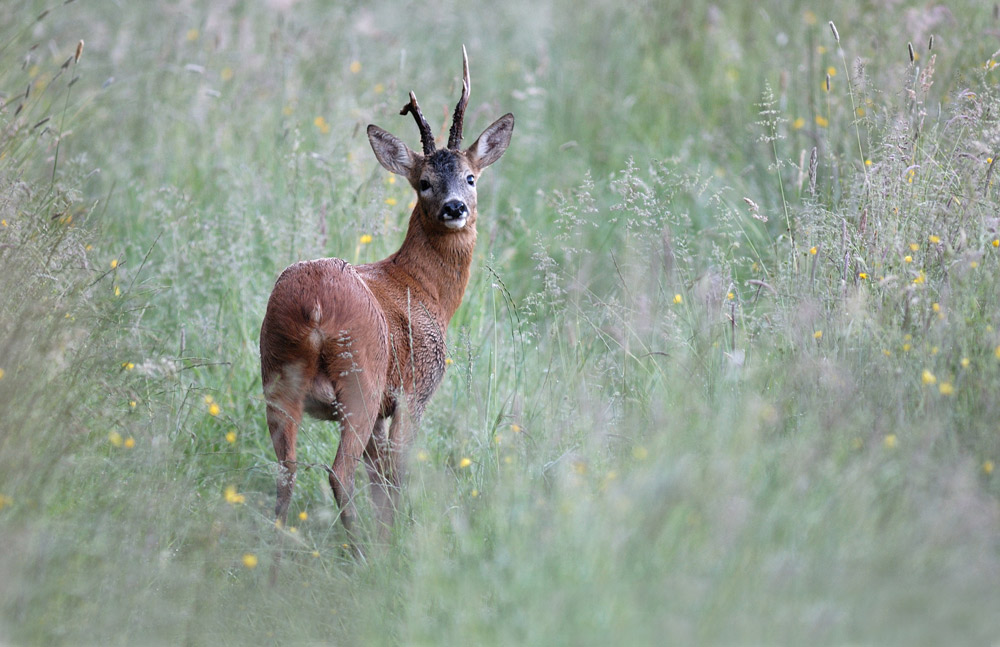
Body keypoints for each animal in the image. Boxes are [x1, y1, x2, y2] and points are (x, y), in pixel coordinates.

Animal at [260, 46, 508, 552]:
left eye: (471, 177)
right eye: (424, 182)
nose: (455, 207)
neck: (424, 289)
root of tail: (313, 305)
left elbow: (380, 480)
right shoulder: (414, 393)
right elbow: (396, 475)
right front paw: (396, 539)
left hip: (276, 375)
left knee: (287, 469)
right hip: (362, 378)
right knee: (339, 472)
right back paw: (360, 553)